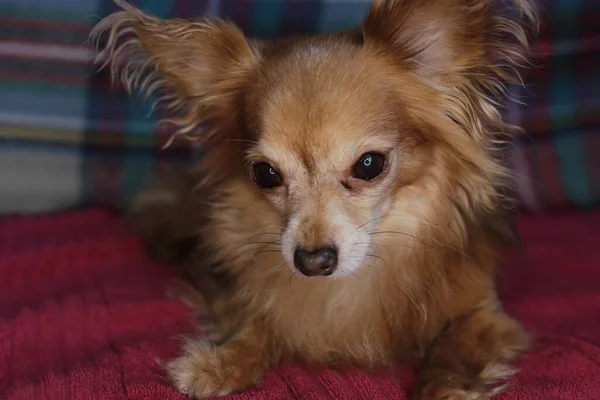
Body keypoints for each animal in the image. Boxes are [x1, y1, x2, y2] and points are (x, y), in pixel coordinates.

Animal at [91, 1, 536, 398]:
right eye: (265, 174)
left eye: (370, 165)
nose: (312, 261)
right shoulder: (256, 302)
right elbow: (261, 325)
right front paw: (219, 363)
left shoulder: (484, 313)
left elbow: (453, 351)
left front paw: (445, 388)